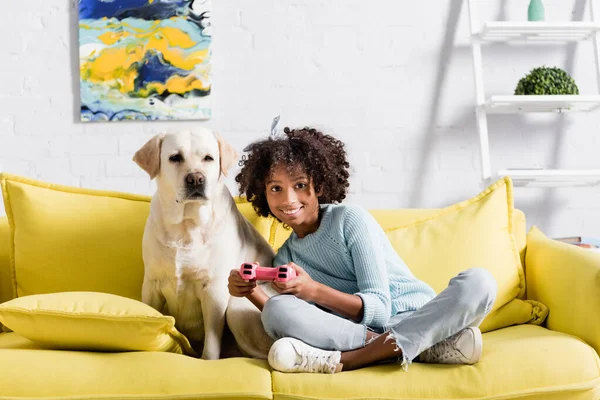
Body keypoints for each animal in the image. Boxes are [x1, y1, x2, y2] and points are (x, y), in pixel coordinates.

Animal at [133, 128, 274, 360]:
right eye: (175, 157)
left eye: (208, 158)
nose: (196, 179)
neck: (186, 225)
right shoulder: (152, 284)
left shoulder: (214, 290)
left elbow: (211, 341)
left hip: (236, 307)